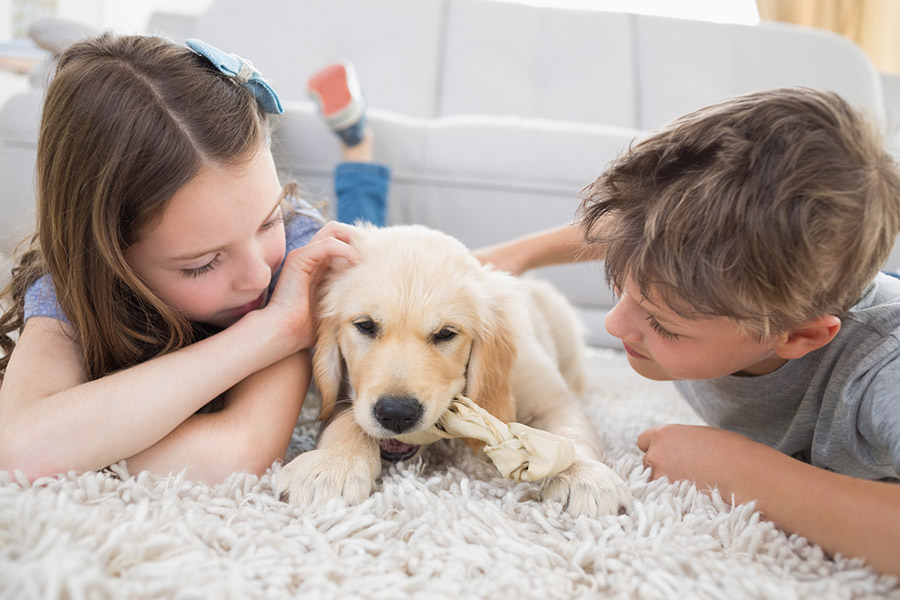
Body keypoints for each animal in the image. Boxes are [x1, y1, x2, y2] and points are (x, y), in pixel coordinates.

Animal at [276, 225, 632, 516]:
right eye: (365, 325)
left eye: (446, 333)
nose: (396, 414)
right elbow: (347, 420)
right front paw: (332, 465)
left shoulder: (549, 394)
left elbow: (569, 433)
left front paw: (584, 476)